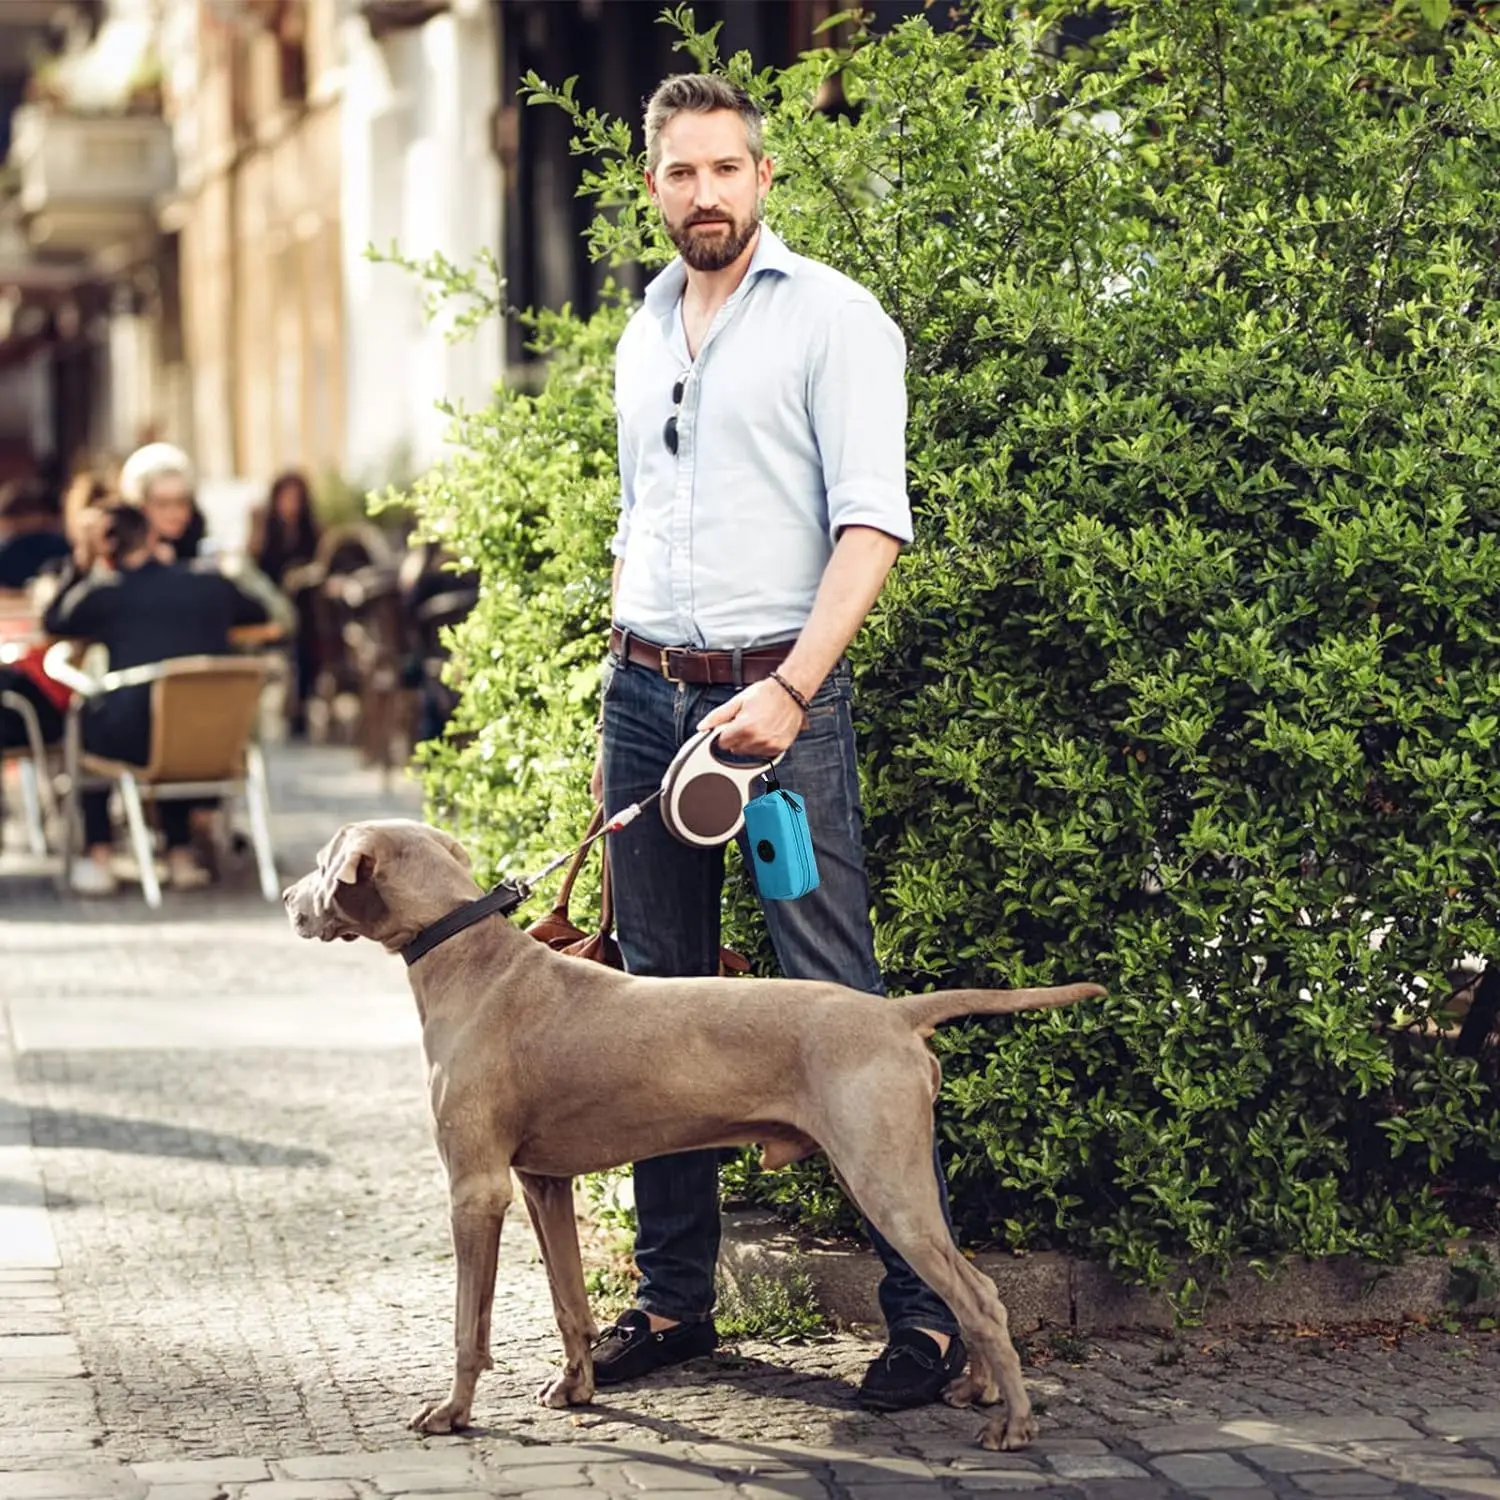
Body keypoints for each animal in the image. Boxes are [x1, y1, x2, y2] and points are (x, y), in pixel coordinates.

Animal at [283, 816, 1104, 1446]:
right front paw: (576, 1388)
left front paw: (452, 1412)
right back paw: (978, 1389)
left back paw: (1012, 1425)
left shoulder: (476, 1190)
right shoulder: (543, 1181)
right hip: (888, 1175)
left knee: (980, 1297)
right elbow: (570, 1302)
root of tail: (894, 1013)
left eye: (321, 863)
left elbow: (467, 1327)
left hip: (884, 1181)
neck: (466, 955)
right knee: (978, 1285)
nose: (288, 898)